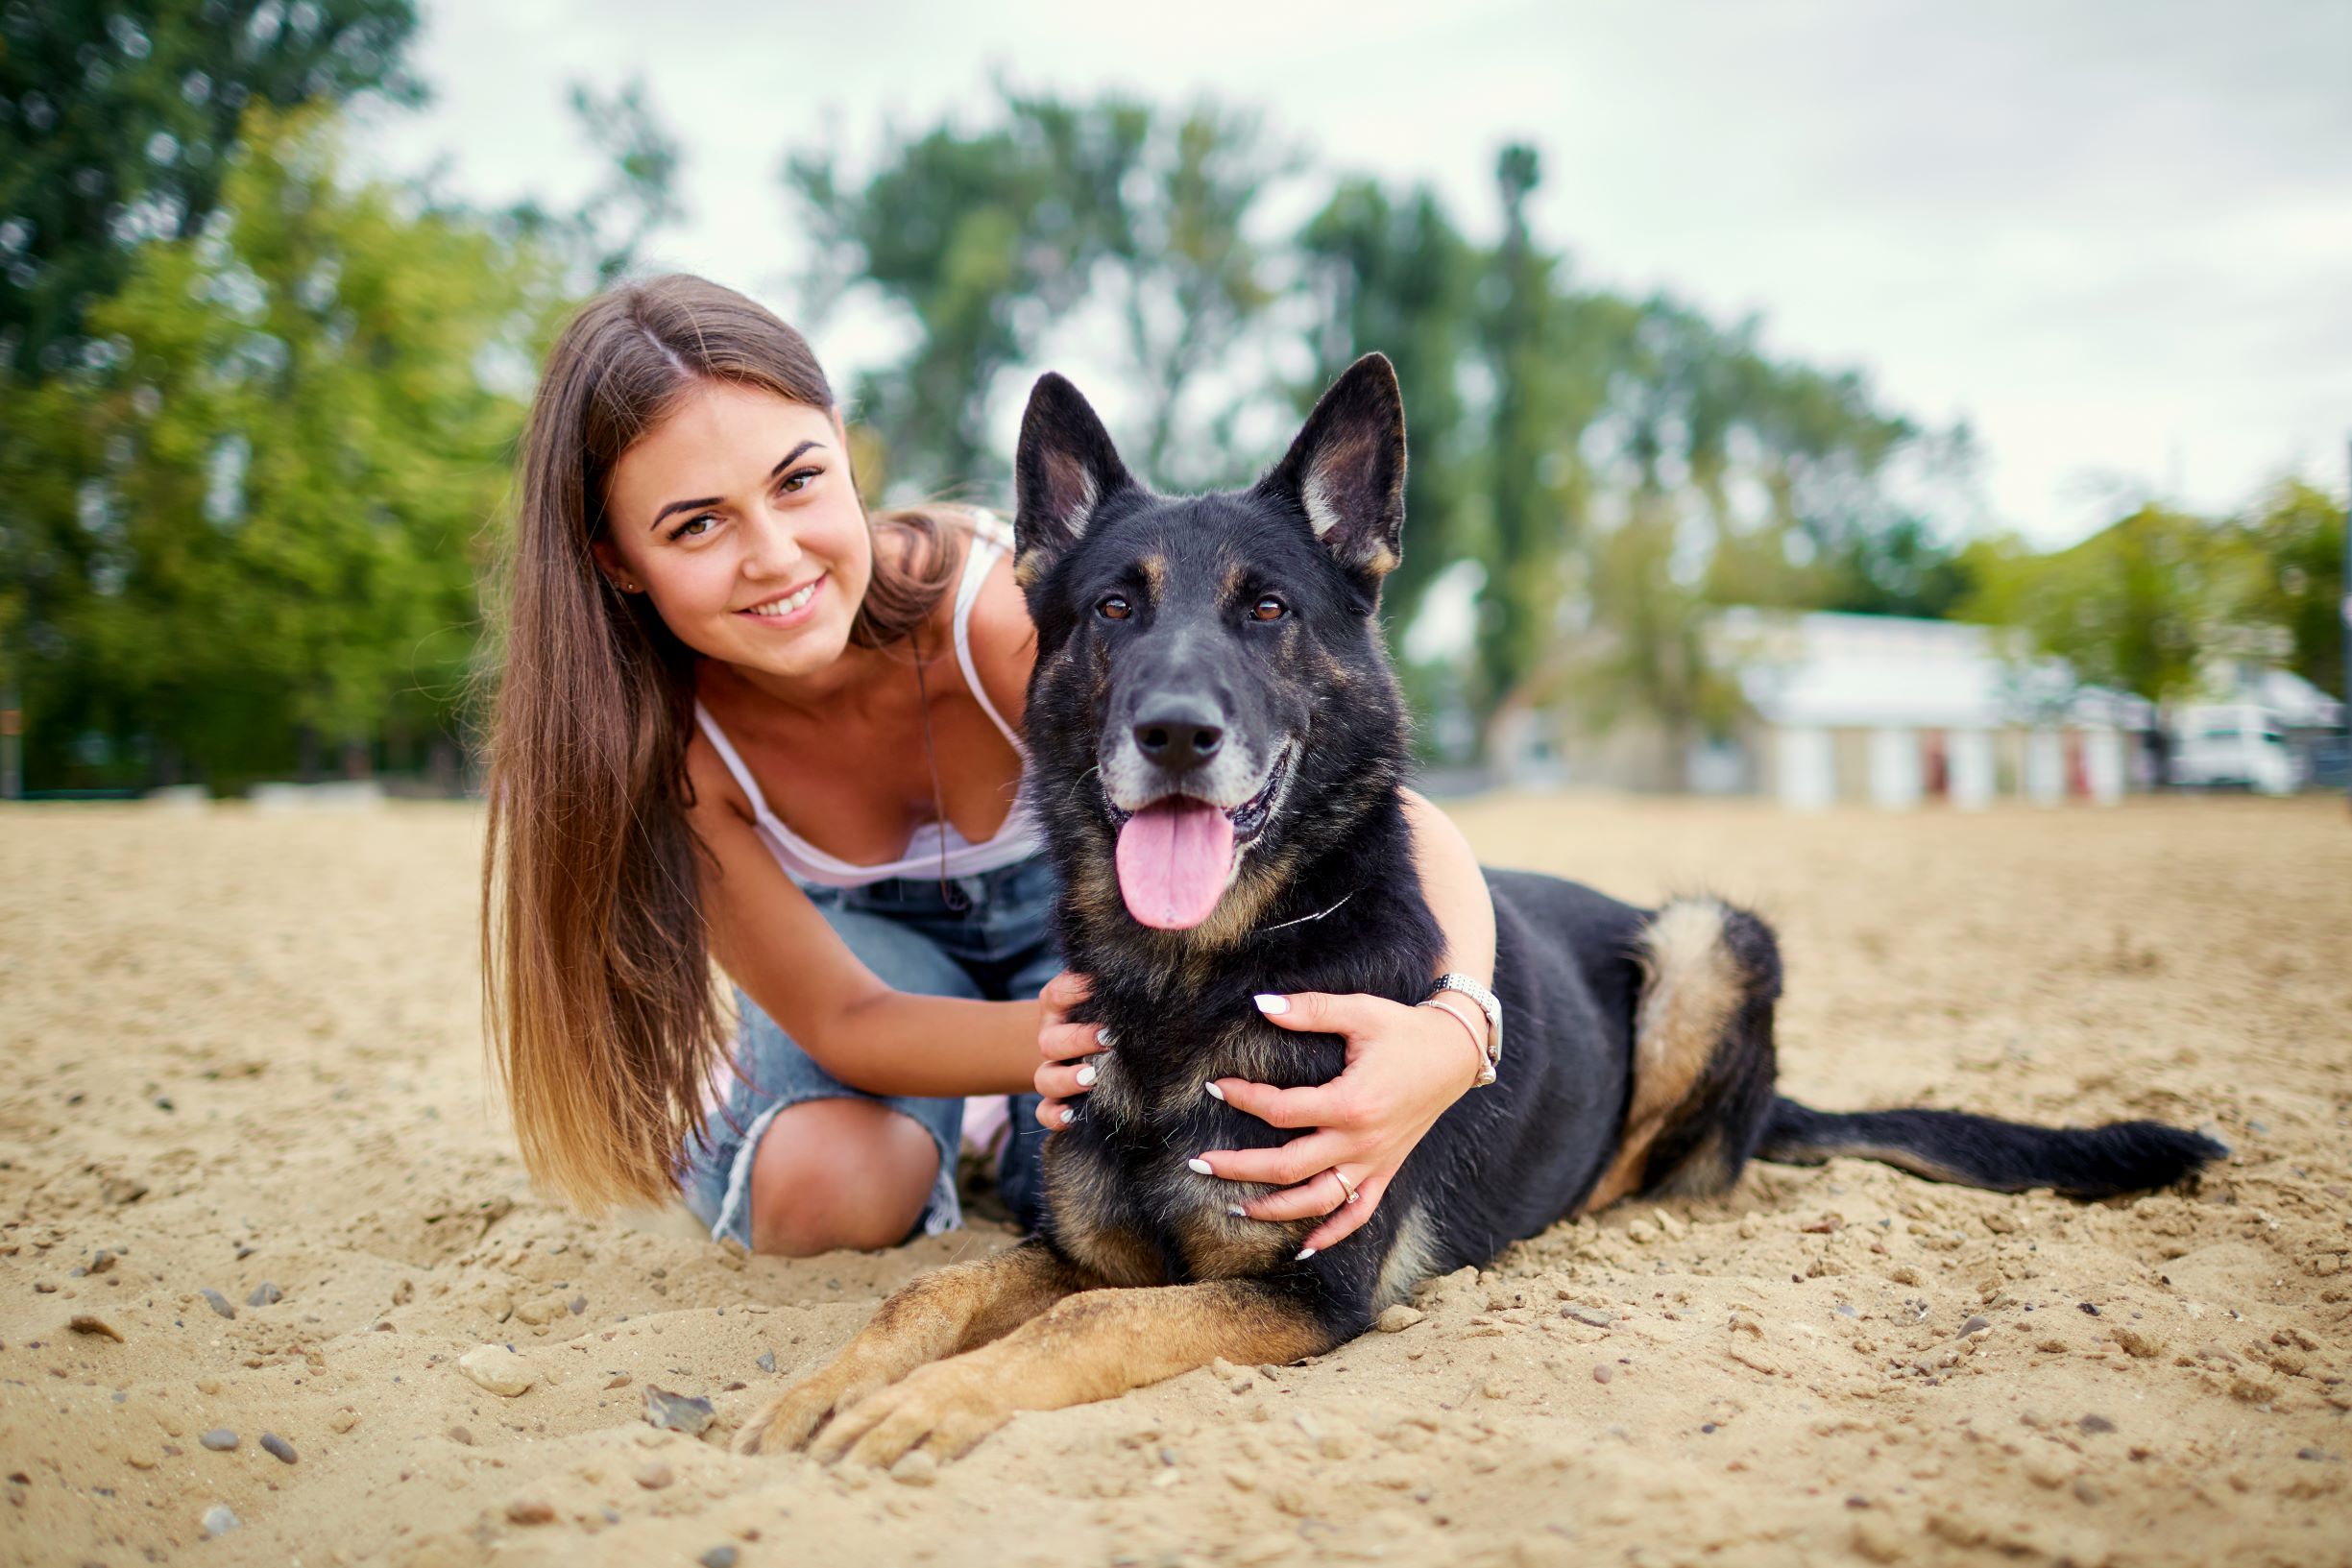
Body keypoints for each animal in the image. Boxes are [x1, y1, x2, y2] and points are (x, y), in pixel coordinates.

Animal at [734, 354, 2219, 1476]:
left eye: (1265, 608)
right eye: (1111, 607)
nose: (1175, 734)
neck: (1202, 976)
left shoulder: (1302, 1292)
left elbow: (1078, 1332)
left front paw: (925, 1402)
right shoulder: (1070, 1247)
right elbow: (936, 1286)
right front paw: (828, 1380)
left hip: (1710, 936)